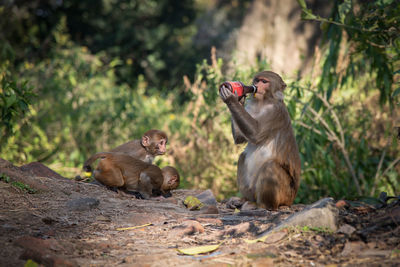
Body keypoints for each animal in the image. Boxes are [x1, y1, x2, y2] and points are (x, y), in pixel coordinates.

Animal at [220, 71, 302, 211]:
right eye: (257, 80)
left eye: (264, 82)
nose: (256, 86)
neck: (263, 102)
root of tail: (290, 201)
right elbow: (240, 138)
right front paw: (239, 100)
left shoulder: (275, 112)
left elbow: (256, 133)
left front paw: (231, 98)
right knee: (242, 157)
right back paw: (245, 199)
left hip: (285, 195)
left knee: (270, 166)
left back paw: (262, 205)